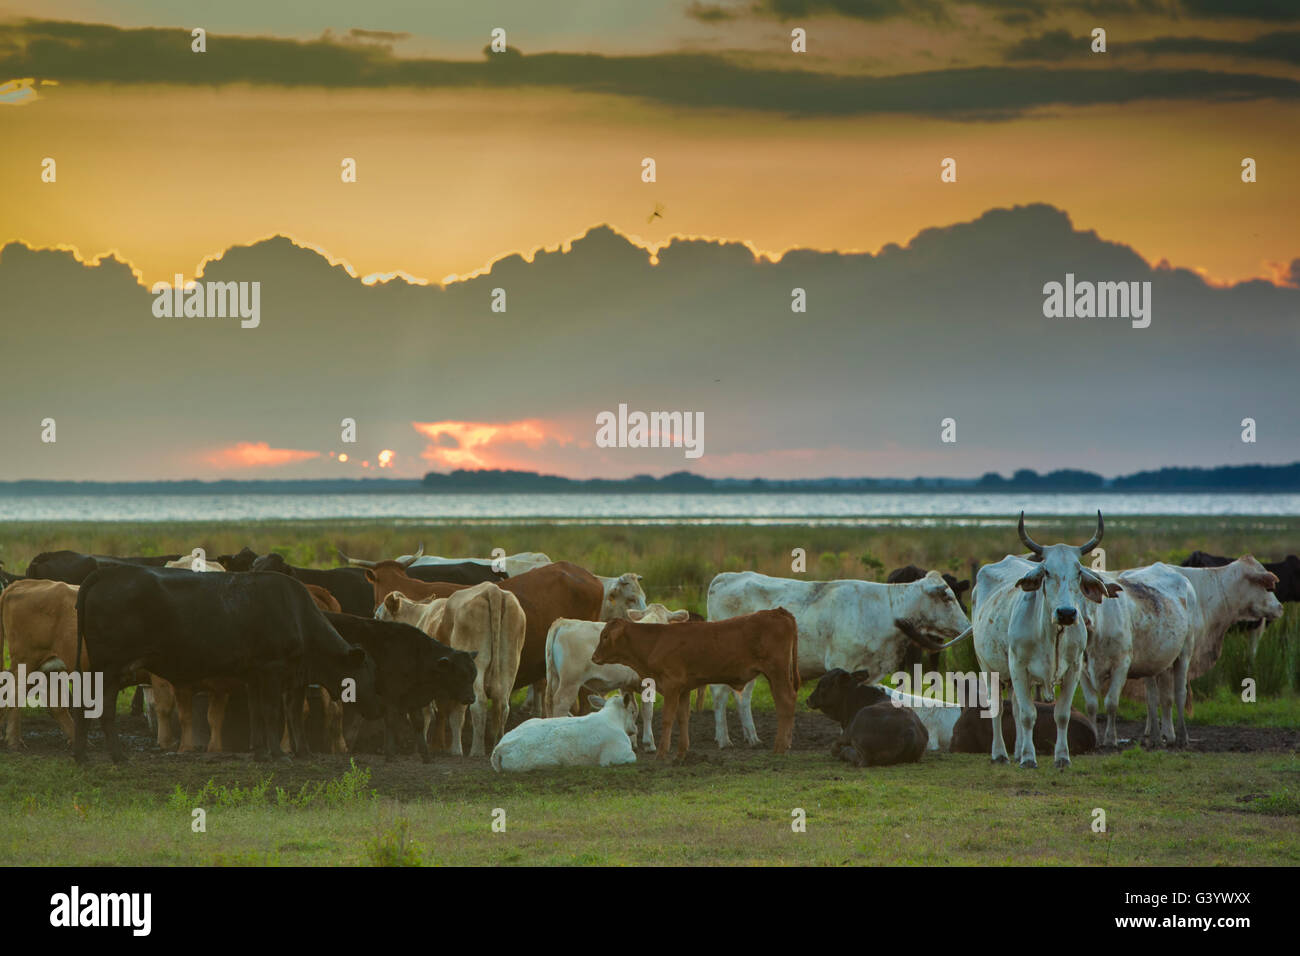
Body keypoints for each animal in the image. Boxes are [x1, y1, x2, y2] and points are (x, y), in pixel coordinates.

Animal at [73, 567, 377, 764]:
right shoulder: (272, 670)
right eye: (367, 674)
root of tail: (109, 573)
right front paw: (280, 755)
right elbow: (273, 712)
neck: (298, 616)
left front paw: (270, 753)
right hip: (108, 667)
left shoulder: (257, 674)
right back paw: (115, 757)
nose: (378, 708)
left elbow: (261, 713)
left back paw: (86, 756)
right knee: (101, 707)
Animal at [325, 613, 483, 764]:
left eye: (473, 675)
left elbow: (419, 723)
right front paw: (390, 754)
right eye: (460, 675)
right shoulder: (391, 695)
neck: (416, 655)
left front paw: (426, 756)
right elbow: (391, 720)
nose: (471, 698)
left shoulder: (413, 697)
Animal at [377, 580, 522, 759]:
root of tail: (492, 589)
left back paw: (477, 751)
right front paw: (454, 749)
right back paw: (497, 745)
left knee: (479, 702)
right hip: (509, 663)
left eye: (378, 617)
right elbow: (454, 715)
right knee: (502, 704)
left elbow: (427, 714)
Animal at [488, 691, 637, 775]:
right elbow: (633, 758)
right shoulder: (615, 755)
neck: (613, 718)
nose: (635, 729)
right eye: (632, 711)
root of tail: (499, 747)